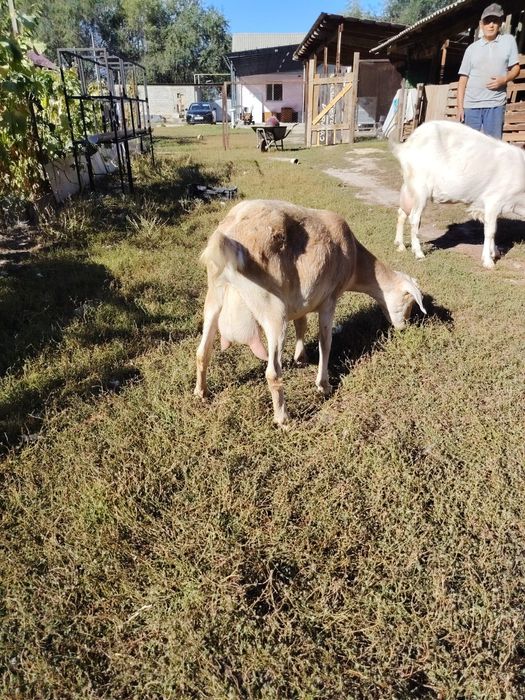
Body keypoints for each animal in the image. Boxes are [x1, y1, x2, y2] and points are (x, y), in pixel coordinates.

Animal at [195, 200, 426, 426]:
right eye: (410, 302)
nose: (403, 327)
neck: (356, 266)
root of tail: (230, 237)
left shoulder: (301, 301)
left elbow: (302, 325)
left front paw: (301, 358)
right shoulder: (329, 300)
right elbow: (326, 341)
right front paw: (324, 385)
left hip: (214, 298)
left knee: (202, 352)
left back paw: (201, 392)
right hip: (273, 309)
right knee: (273, 372)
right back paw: (283, 419)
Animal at [392, 120, 525, 269]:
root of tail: (408, 144)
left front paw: (494, 252)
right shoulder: (493, 200)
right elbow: (491, 231)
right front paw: (488, 261)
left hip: (409, 188)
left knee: (402, 213)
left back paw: (400, 245)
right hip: (420, 188)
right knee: (414, 218)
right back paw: (418, 253)